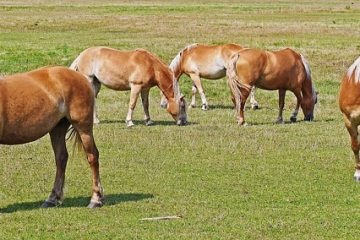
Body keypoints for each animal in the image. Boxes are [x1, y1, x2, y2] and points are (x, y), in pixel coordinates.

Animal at [0, 66, 104, 208]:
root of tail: (80, 76)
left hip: (83, 128)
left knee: (93, 156)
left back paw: (96, 199)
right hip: (57, 128)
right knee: (61, 158)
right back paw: (52, 198)